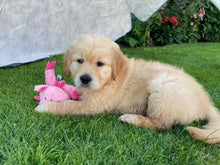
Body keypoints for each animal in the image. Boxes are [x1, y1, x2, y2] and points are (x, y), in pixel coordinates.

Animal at [35, 34, 219, 144]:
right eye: (79, 61)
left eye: (100, 64)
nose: (85, 79)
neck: (109, 79)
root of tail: (206, 102)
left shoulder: (92, 105)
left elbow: (68, 105)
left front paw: (47, 106)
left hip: (163, 86)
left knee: (162, 125)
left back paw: (130, 118)